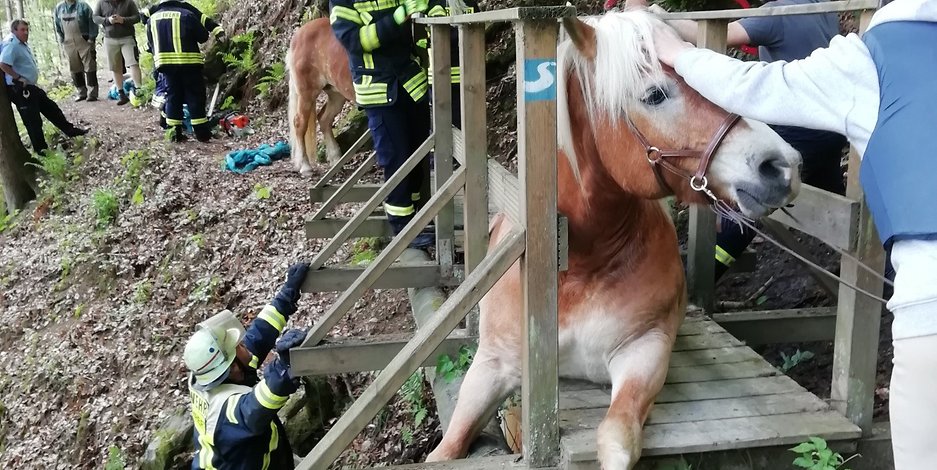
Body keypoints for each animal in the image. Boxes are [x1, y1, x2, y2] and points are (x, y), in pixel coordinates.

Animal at [286, 16, 354, 175]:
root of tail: (296, 38)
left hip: (337, 93)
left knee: (324, 119)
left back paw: (336, 159)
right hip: (307, 94)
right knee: (299, 124)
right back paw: (306, 167)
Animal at [428, 11, 800, 470]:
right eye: (655, 94)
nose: (782, 165)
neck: (577, 268)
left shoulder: (645, 350)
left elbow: (616, 438)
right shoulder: (491, 365)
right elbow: (446, 448)